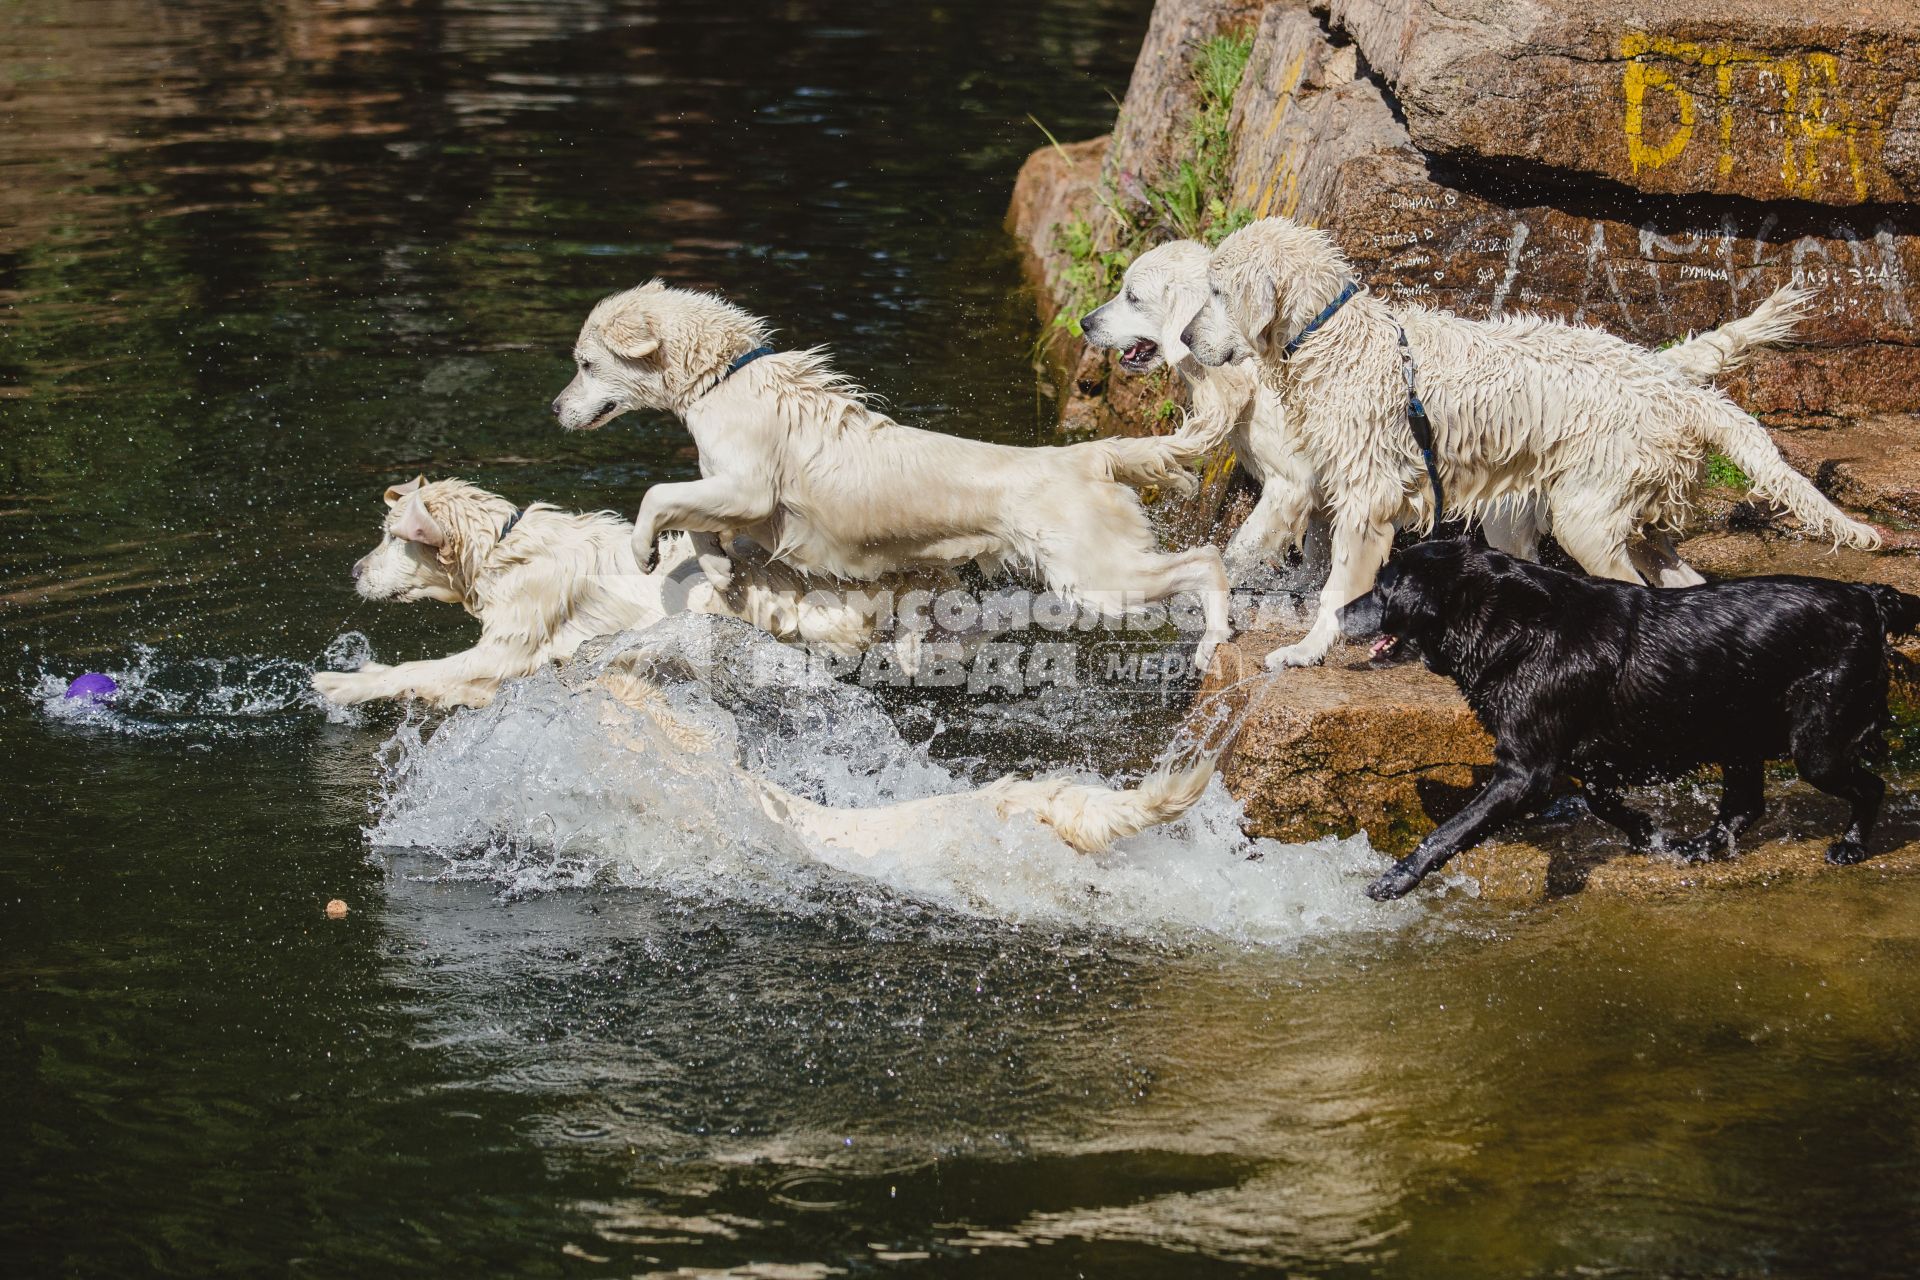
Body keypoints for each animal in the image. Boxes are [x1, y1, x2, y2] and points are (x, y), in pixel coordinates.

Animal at [307, 477, 936, 706]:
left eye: (393, 538)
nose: (353, 571)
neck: (504, 552)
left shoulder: (508, 649)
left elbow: (421, 670)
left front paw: (343, 683)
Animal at [1090, 239, 1820, 591]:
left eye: (1131, 294)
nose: (1083, 321)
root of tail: (1660, 375)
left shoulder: (1296, 484)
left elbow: (1244, 548)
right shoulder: (1329, 491)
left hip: (1584, 512)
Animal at [1351, 541, 1920, 901]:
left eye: (1381, 588)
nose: (1339, 610)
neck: (1516, 625)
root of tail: (1868, 596)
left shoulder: (1524, 772)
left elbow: (1448, 831)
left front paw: (1392, 881)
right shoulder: (1587, 754)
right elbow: (1600, 798)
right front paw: (1648, 833)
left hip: (1815, 742)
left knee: (1867, 786)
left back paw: (1850, 846)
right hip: (1735, 725)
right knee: (1744, 805)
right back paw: (1696, 848)